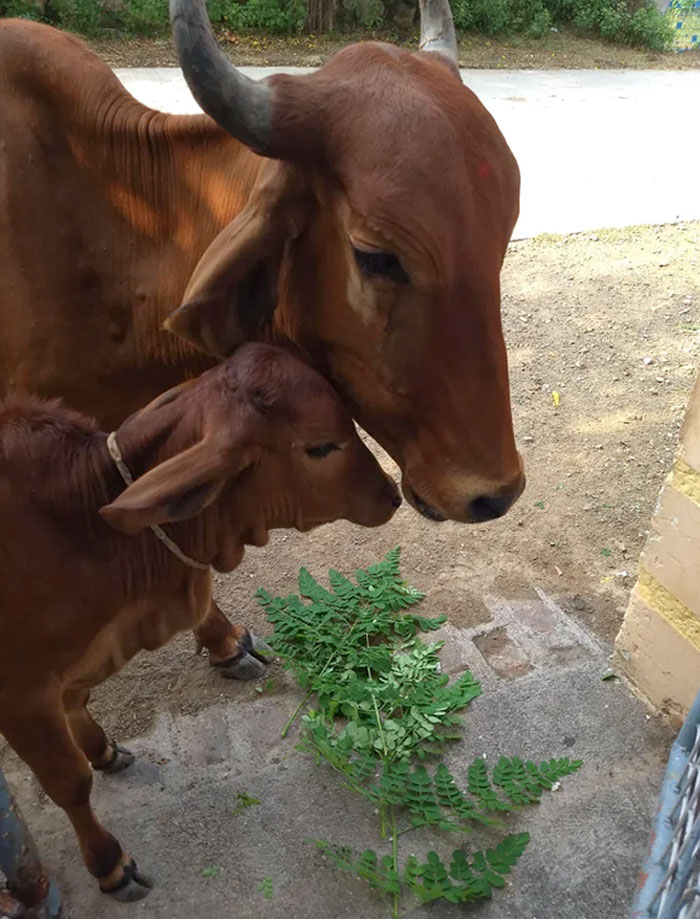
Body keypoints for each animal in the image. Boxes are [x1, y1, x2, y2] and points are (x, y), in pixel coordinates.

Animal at [0, 342, 400, 904]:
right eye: (320, 446)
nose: (392, 493)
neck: (82, 529)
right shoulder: (21, 696)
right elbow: (70, 782)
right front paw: (109, 863)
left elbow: (79, 703)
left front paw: (101, 746)